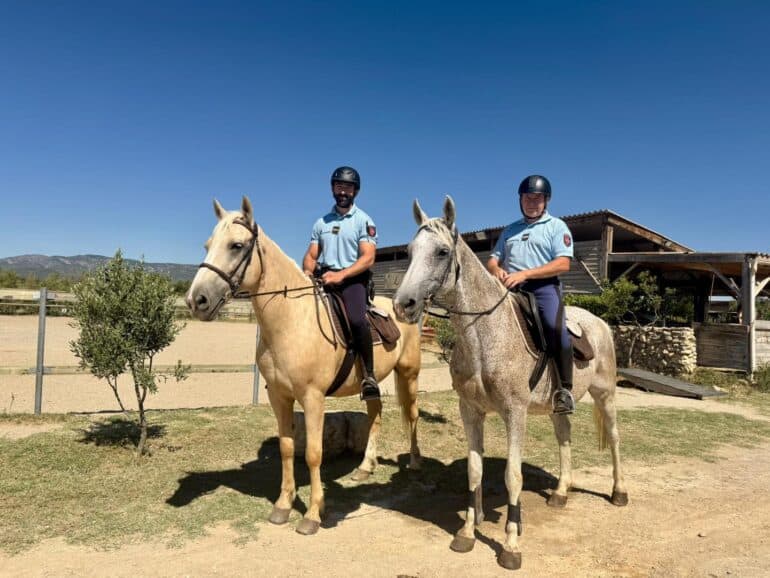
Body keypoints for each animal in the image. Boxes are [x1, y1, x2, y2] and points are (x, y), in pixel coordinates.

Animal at [186, 196, 423, 535]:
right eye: (207, 245)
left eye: (236, 245)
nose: (197, 300)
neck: (292, 321)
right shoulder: (279, 396)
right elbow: (287, 448)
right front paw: (283, 506)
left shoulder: (312, 398)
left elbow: (313, 454)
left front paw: (312, 514)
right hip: (373, 382)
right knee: (375, 415)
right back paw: (365, 467)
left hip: (409, 373)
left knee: (413, 415)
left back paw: (415, 463)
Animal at [392, 196, 627, 570]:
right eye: (410, 251)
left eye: (442, 252)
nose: (403, 305)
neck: (485, 337)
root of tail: (599, 322)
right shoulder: (470, 411)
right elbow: (474, 471)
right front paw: (467, 533)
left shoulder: (514, 413)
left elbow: (512, 476)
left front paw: (511, 544)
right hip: (558, 407)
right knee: (565, 438)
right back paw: (561, 493)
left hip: (605, 394)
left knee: (615, 438)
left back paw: (618, 492)